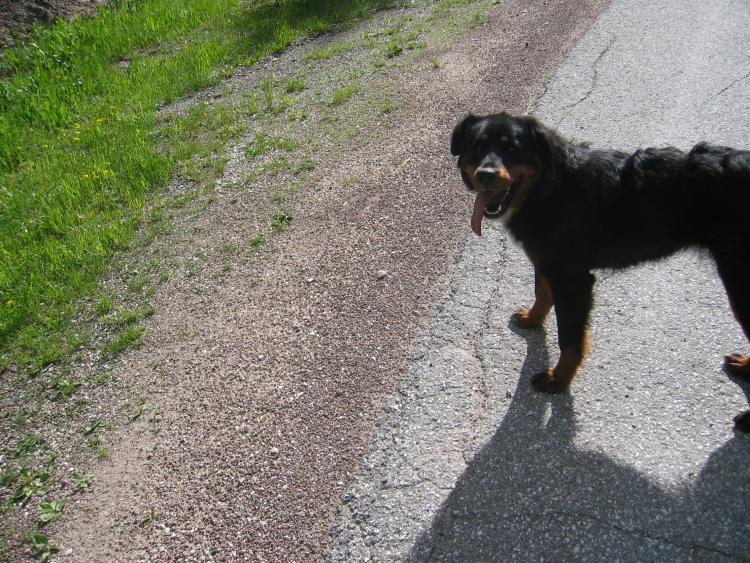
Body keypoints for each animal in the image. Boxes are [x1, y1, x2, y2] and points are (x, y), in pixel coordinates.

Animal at [452, 113, 750, 432]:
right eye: (476, 146)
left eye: (513, 148)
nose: (486, 175)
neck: (552, 186)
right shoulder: (548, 261)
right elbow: (542, 292)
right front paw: (533, 318)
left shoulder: (574, 279)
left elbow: (569, 338)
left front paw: (559, 379)